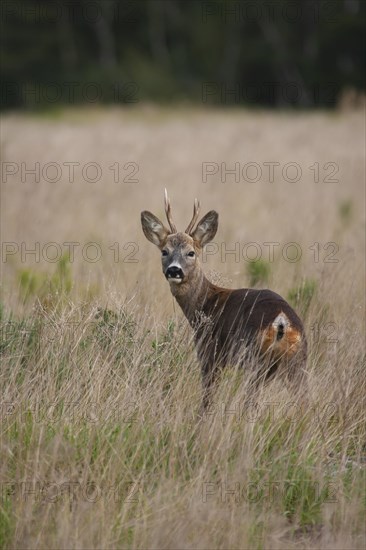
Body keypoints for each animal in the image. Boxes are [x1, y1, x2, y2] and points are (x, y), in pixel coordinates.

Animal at [142, 190, 308, 410]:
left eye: (191, 252)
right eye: (164, 251)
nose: (174, 270)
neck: (205, 304)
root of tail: (282, 321)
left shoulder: (210, 354)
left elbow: (207, 399)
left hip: (253, 361)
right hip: (297, 362)